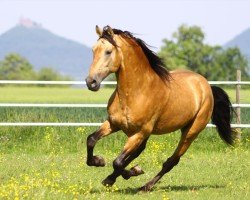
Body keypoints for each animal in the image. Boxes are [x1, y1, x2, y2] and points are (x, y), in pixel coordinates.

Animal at [85, 25, 234, 191]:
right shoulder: (114, 123)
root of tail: (206, 85)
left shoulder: (140, 132)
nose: (91, 82)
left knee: (171, 161)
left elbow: (117, 162)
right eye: (93, 50)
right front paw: (99, 161)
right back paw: (115, 178)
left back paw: (145, 186)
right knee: (137, 153)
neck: (136, 92)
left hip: (190, 132)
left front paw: (133, 171)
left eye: (108, 51)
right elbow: (91, 140)